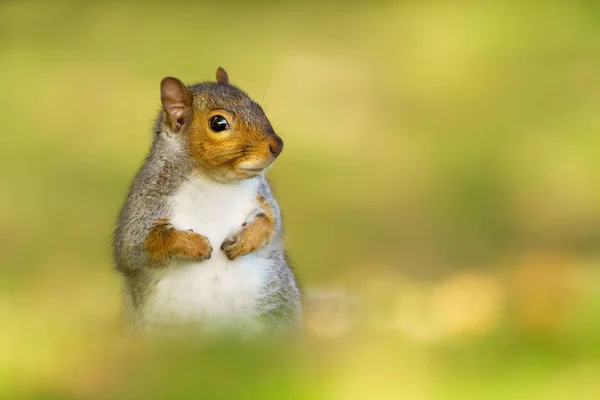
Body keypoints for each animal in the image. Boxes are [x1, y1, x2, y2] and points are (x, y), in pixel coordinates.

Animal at [112, 69, 300, 334]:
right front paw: (195, 245)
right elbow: (135, 245)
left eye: (258, 107)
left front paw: (242, 242)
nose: (278, 145)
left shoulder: (262, 197)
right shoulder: (145, 202)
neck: (216, 182)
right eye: (218, 123)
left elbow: (272, 223)